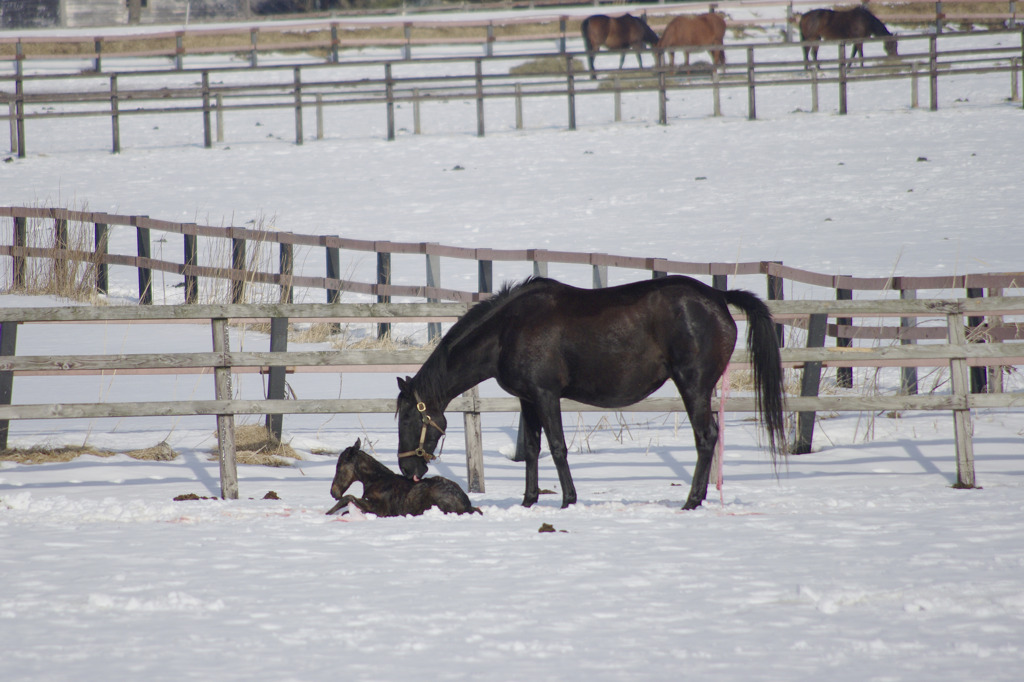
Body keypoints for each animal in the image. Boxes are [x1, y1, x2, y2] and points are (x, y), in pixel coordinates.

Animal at [323, 440, 479, 516]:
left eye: (339, 467)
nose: (333, 492)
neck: (374, 481)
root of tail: (467, 504)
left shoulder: (381, 510)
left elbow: (348, 497)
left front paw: (328, 513)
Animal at [391, 274, 782, 509]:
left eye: (409, 416)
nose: (407, 468)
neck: (507, 330)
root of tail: (718, 296)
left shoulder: (546, 395)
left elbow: (557, 447)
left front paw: (568, 500)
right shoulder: (528, 399)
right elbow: (531, 449)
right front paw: (528, 501)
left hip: (694, 384)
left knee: (706, 436)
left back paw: (692, 501)